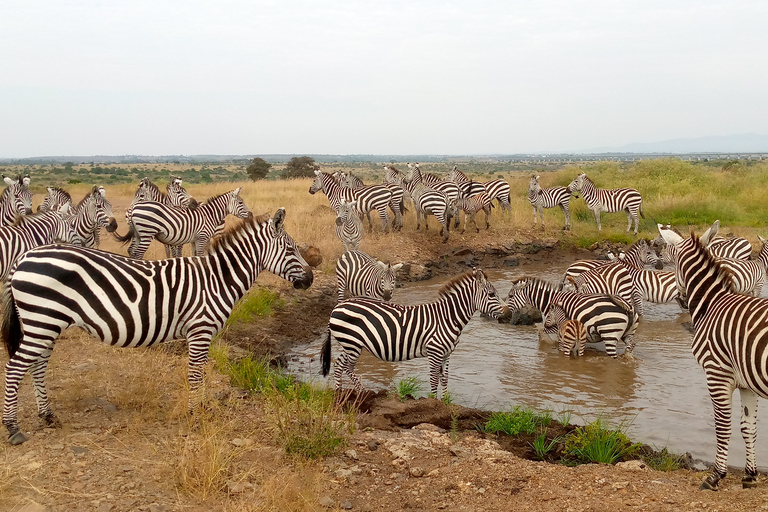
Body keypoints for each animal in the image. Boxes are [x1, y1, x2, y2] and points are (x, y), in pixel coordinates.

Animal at [0, 208, 312, 444]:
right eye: (291, 248)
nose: (310, 279)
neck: (217, 279)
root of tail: (24, 257)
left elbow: (199, 374)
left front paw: (199, 409)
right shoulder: (200, 331)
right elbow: (195, 375)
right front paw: (195, 415)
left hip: (46, 322)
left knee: (38, 365)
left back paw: (48, 415)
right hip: (42, 320)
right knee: (15, 368)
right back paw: (13, 429)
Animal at [115, 188, 250, 260]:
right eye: (240, 202)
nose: (251, 214)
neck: (209, 215)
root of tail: (134, 208)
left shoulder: (195, 240)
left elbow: (195, 255)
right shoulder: (202, 238)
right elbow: (199, 255)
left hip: (138, 234)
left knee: (132, 251)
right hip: (147, 233)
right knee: (138, 254)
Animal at [320, 270, 508, 398]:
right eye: (492, 294)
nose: (508, 314)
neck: (447, 318)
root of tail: (338, 306)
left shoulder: (447, 353)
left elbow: (445, 379)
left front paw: (445, 403)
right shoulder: (434, 352)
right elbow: (434, 379)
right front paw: (433, 402)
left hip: (349, 343)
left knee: (339, 365)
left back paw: (339, 394)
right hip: (352, 343)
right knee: (348, 367)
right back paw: (362, 393)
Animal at [508, 278, 640, 358]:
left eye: (510, 296)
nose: (508, 315)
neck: (551, 301)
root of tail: (628, 307)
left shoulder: (557, 325)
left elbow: (542, 332)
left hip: (610, 334)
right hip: (628, 334)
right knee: (631, 346)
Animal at [656, 221, 768, 492]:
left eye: (671, 264)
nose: (682, 301)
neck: (713, 302)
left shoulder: (717, 374)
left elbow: (723, 426)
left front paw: (716, 475)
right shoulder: (747, 382)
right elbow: (748, 427)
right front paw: (750, 475)